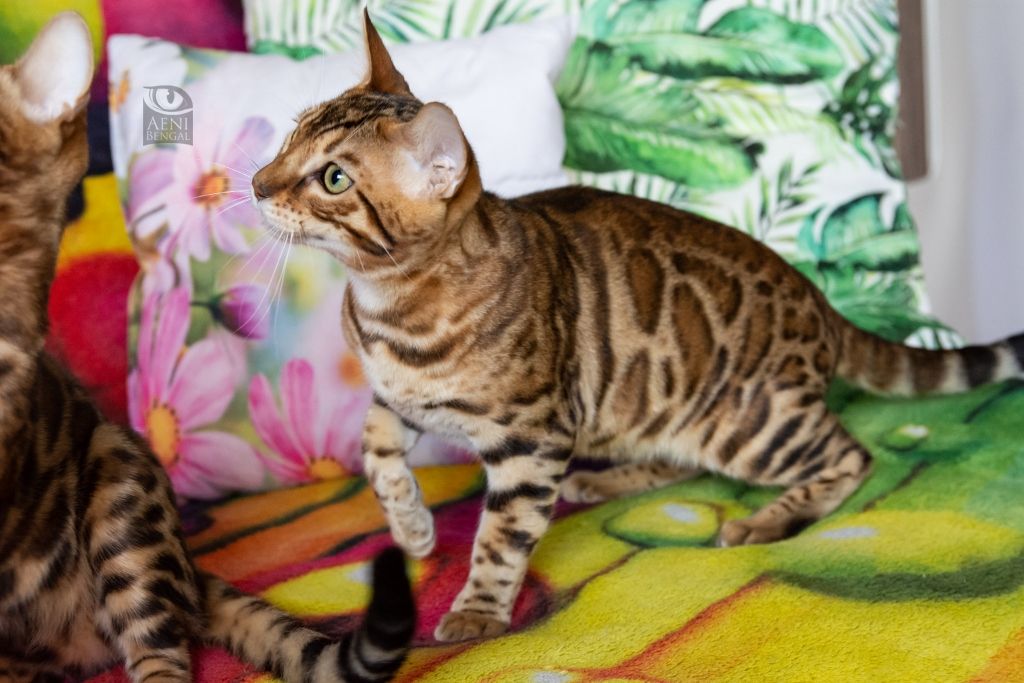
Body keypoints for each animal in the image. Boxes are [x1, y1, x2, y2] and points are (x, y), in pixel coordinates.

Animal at [253, 11, 1024, 643]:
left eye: (332, 179)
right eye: (290, 136)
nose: (257, 184)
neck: (385, 305)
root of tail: (819, 298)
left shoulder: (532, 439)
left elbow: (501, 536)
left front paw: (479, 609)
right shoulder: (400, 401)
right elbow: (375, 454)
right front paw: (413, 528)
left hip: (751, 425)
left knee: (850, 458)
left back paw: (764, 520)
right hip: (666, 406)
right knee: (683, 453)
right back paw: (607, 480)